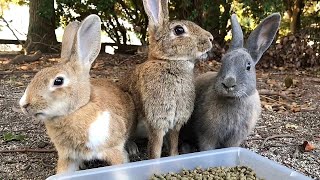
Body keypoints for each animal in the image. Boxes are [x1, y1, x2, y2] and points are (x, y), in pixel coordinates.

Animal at [122, 0, 212, 159]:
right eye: (179, 30)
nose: (211, 39)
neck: (167, 62)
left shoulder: (176, 123)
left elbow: (174, 143)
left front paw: (174, 155)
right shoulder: (157, 123)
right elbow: (155, 150)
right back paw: (132, 149)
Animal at [181, 13, 282, 150]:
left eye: (248, 66)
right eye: (223, 62)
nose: (228, 84)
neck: (232, 100)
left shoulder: (235, 138)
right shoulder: (207, 134)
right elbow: (207, 147)